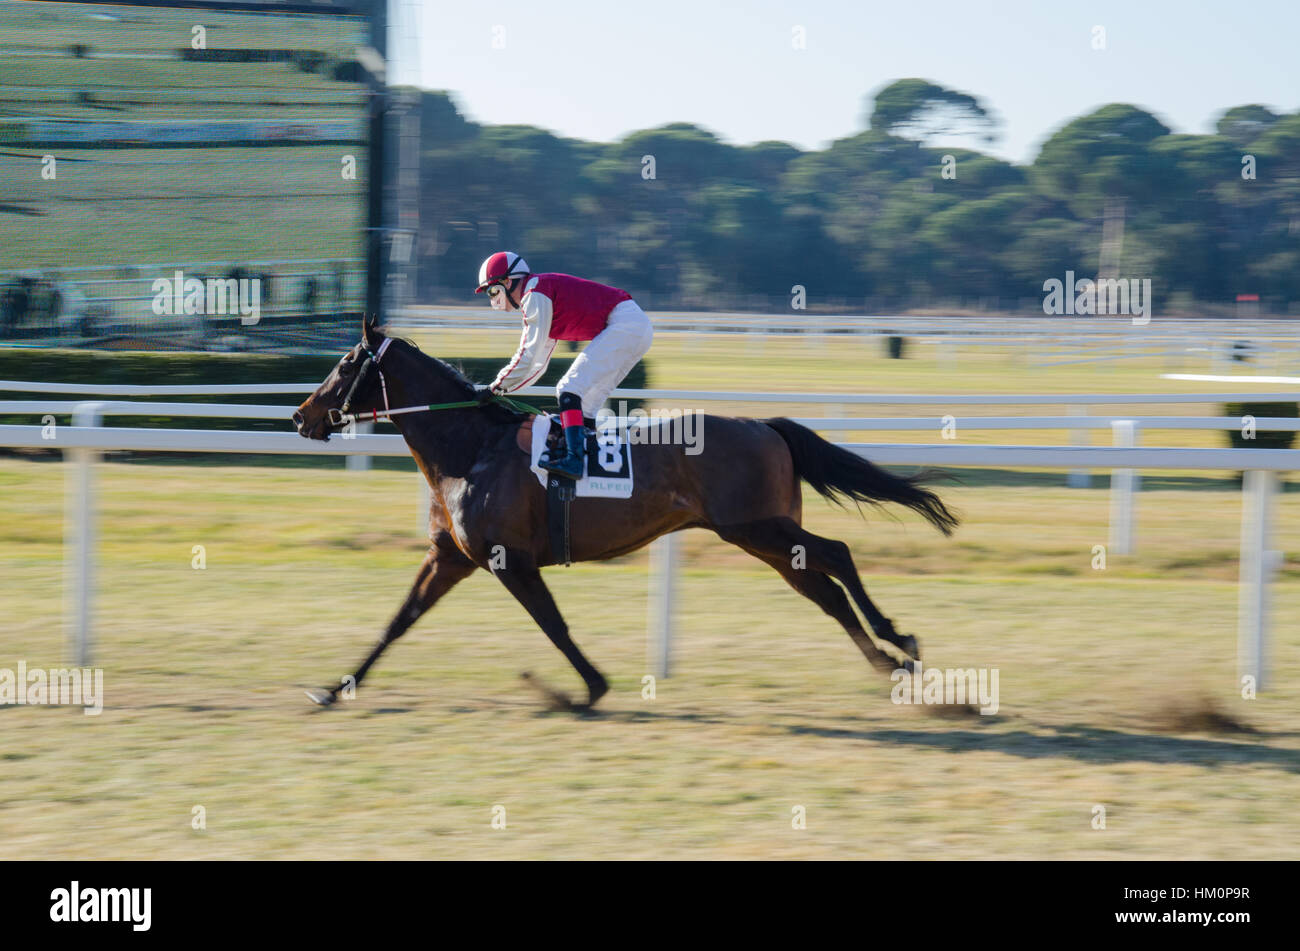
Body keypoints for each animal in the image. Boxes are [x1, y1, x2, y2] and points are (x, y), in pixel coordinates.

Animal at [292, 320, 958, 710]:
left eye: (346, 365)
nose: (302, 416)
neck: (471, 448)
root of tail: (764, 425)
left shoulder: (510, 561)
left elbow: (554, 626)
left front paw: (584, 689)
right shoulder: (451, 556)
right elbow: (398, 621)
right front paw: (334, 687)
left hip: (755, 527)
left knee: (838, 555)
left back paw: (900, 640)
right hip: (765, 537)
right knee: (825, 591)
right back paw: (890, 662)